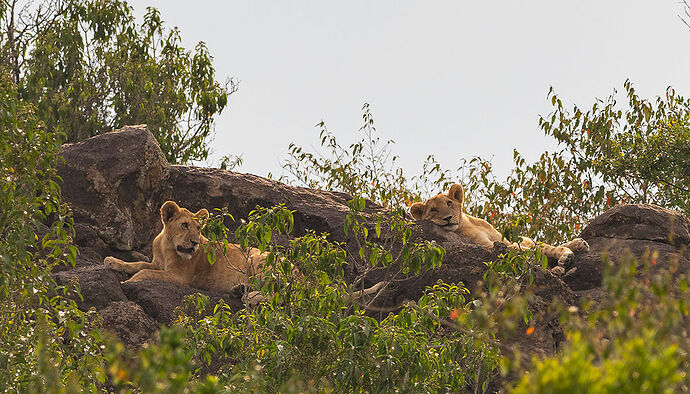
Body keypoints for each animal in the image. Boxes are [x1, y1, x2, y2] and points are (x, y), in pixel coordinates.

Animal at [408, 184, 584, 274]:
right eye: (433, 210)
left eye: (449, 203)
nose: (448, 218)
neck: (466, 223)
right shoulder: (486, 245)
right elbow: (522, 250)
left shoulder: (501, 238)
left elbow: (546, 248)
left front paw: (566, 254)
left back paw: (579, 244)